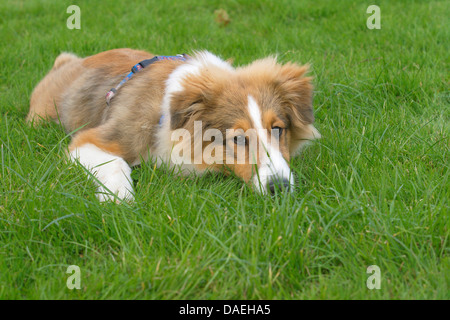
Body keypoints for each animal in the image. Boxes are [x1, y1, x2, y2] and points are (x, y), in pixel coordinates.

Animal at [28, 48, 320, 201]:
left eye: (277, 129)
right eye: (237, 138)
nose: (280, 189)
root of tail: (69, 63)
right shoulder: (89, 140)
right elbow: (116, 163)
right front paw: (119, 200)